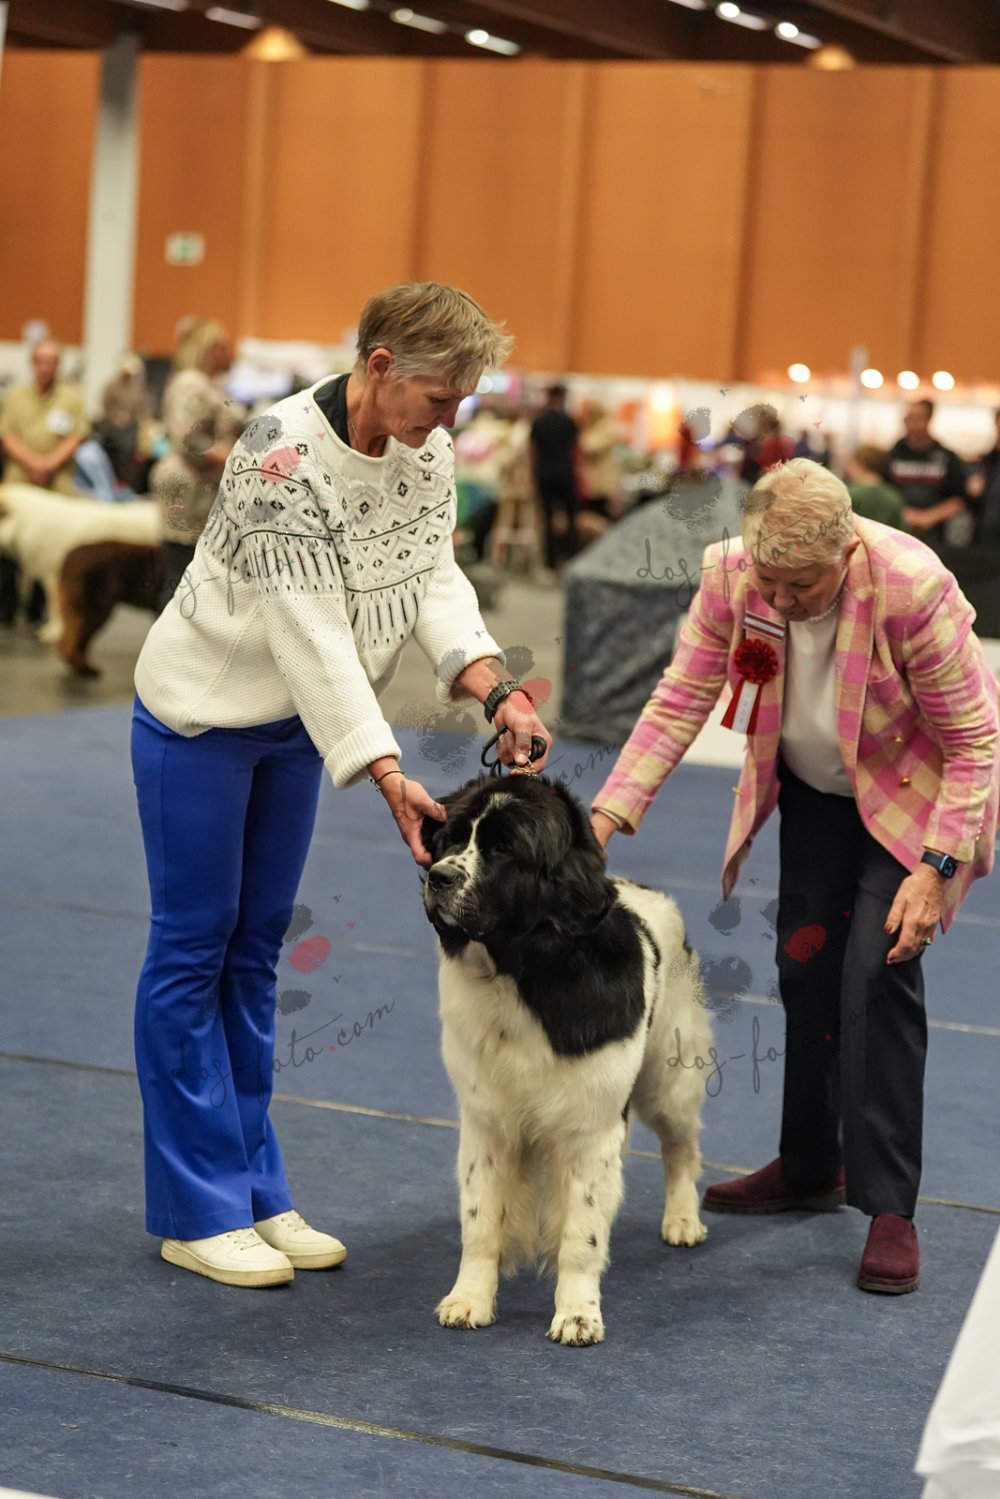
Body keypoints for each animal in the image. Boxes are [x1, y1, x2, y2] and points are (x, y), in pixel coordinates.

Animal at [422, 775, 712, 1347]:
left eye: (503, 849)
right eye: (452, 839)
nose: (437, 876)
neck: (525, 973)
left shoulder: (590, 1130)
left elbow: (583, 1232)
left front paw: (578, 1314)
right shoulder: (488, 1121)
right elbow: (481, 1219)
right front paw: (468, 1299)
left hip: (668, 1076)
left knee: (681, 1146)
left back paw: (683, 1219)